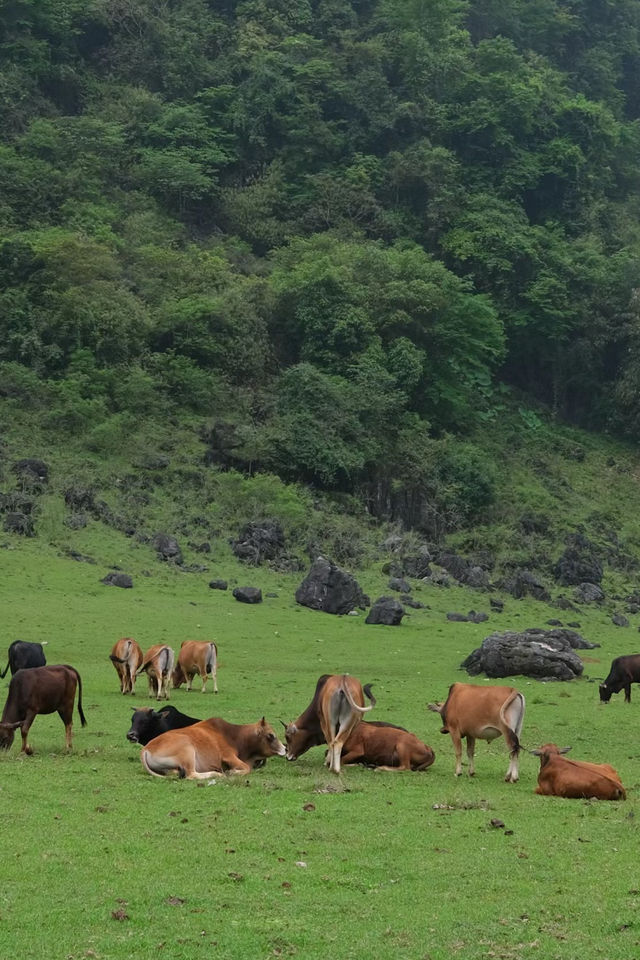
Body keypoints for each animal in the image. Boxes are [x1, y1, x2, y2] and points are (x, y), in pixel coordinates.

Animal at [145, 712, 288, 780]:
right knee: (191, 774)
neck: (234, 735)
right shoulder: (228, 756)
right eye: (271, 735)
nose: (285, 749)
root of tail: (146, 749)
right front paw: (231, 772)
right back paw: (216, 774)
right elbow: (247, 768)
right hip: (188, 750)